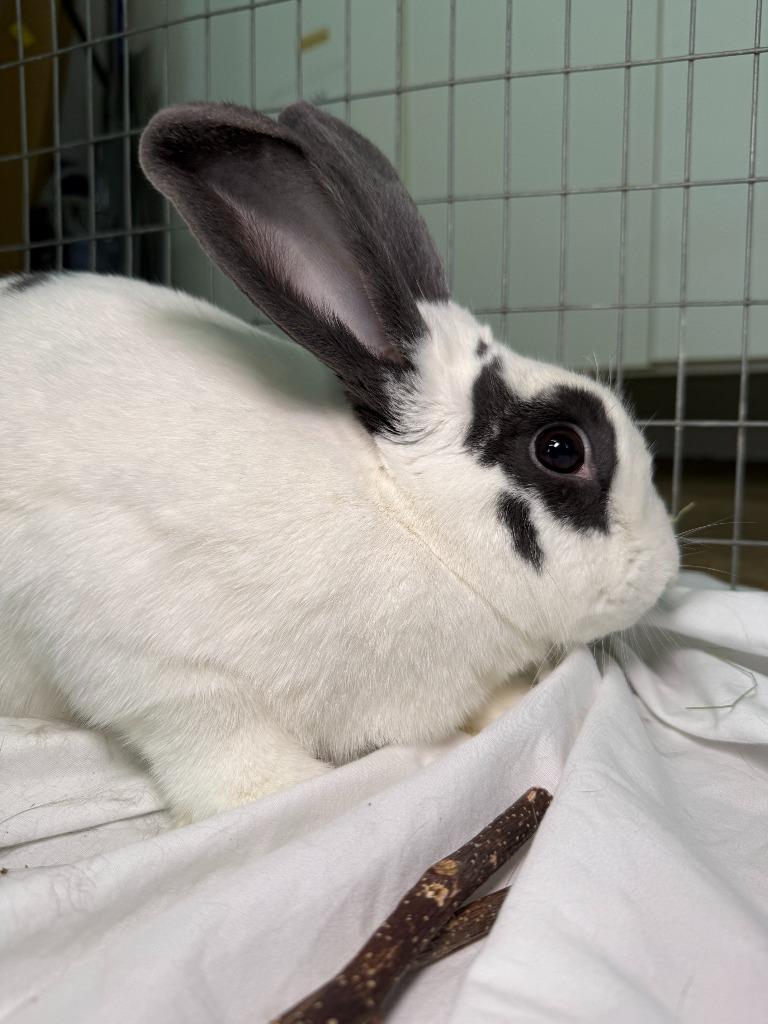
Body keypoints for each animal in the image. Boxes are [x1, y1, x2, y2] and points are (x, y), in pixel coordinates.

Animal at [0, 101, 679, 823]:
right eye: (560, 448)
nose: (666, 572)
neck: (409, 516)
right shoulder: (148, 656)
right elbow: (212, 736)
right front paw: (284, 791)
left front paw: (509, 708)